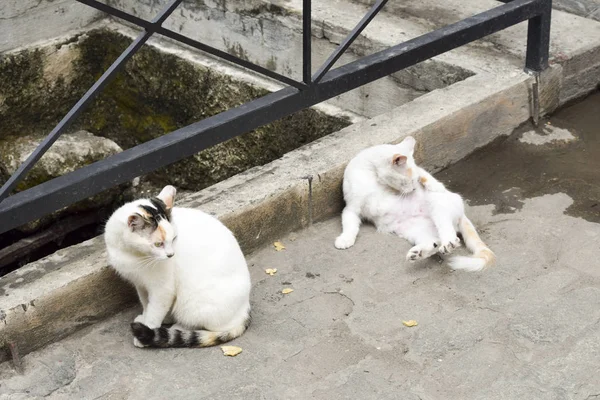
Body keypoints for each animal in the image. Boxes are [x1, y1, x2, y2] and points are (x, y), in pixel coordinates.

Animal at [105, 185, 251, 346]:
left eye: (174, 239)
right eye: (158, 244)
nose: (171, 255)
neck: (132, 254)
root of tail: (245, 309)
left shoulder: (163, 289)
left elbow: (155, 311)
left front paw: (148, 329)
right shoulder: (140, 283)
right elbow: (146, 302)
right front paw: (147, 316)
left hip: (193, 303)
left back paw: (178, 328)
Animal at [336, 135, 494, 272]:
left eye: (414, 181)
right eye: (408, 181)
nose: (413, 189)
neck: (372, 174)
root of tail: (462, 214)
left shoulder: (421, 172)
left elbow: (426, 176)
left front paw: (436, 186)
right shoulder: (351, 209)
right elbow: (349, 226)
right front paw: (345, 239)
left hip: (438, 206)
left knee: (447, 230)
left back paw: (448, 242)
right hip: (415, 230)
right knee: (435, 241)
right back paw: (419, 253)